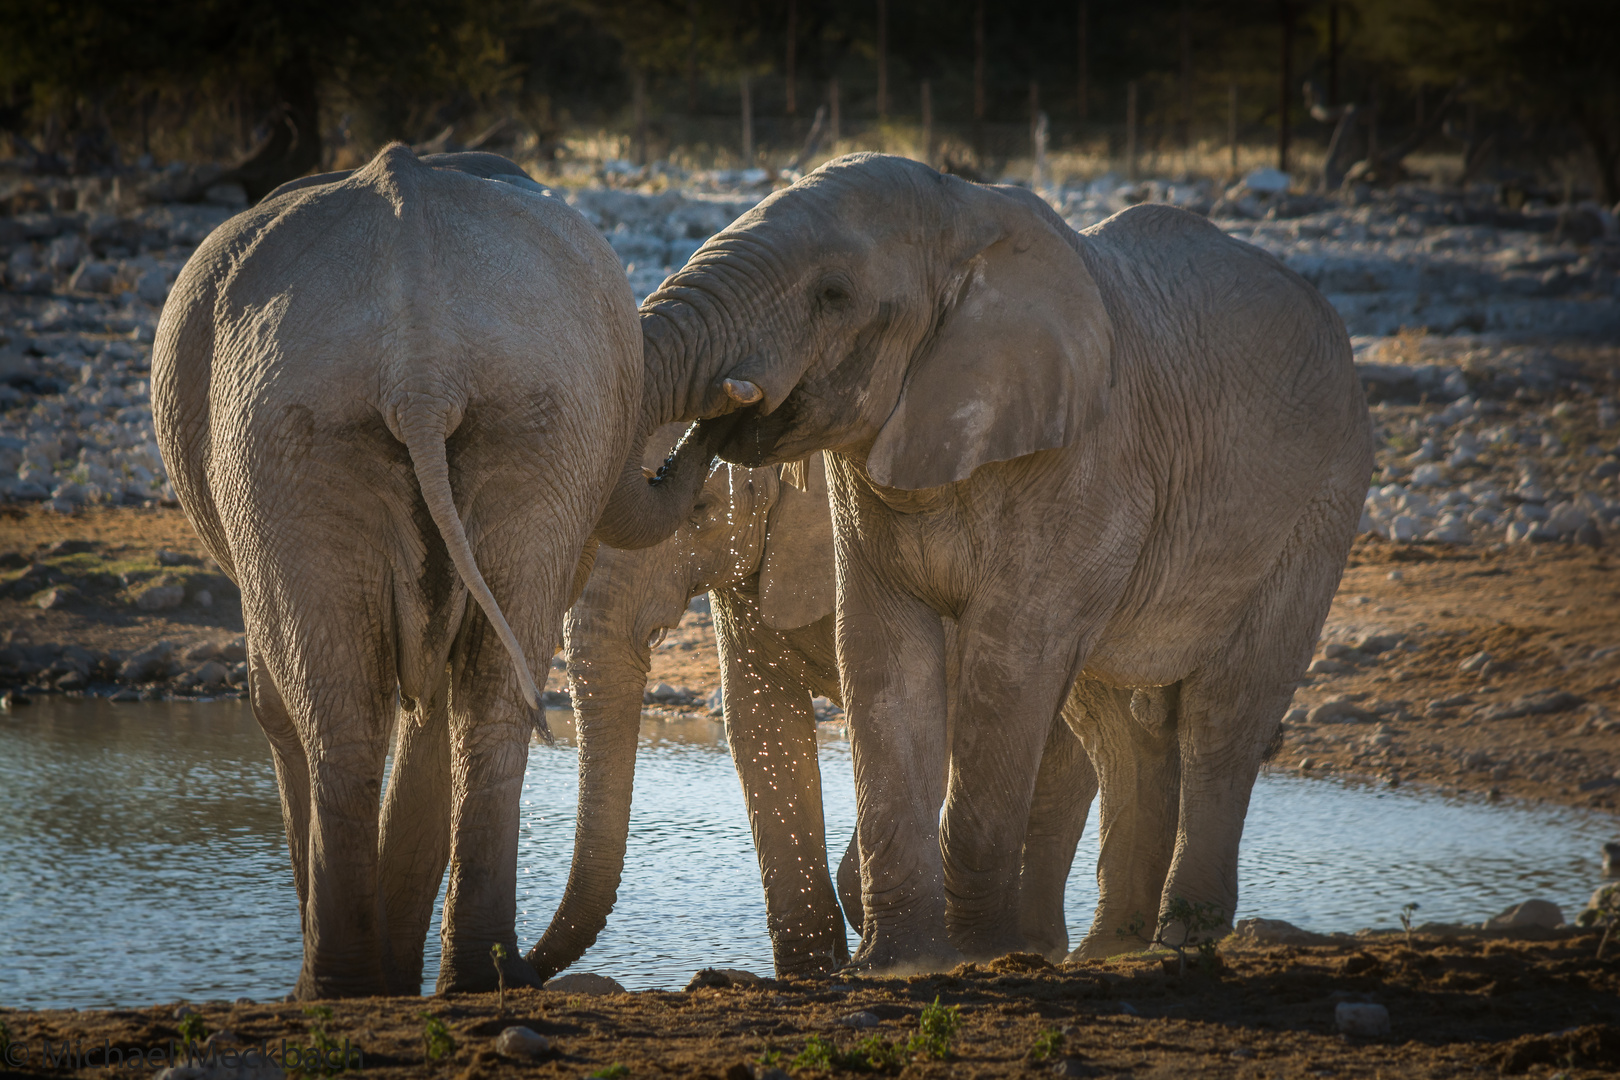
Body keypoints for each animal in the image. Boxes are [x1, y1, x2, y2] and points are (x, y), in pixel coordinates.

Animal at [152, 148, 735, 1003]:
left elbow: (281, 699)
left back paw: (343, 986)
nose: (736, 396)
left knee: (355, 705)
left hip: (298, 430)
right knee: (463, 695)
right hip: (495, 421)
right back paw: (457, 980)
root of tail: (420, 364)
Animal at [638, 152, 1373, 971]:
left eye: (834, 295)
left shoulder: (1085, 459)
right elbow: (883, 657)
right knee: (1118, 724)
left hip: (1322, 502)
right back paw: (1109, 951)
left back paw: (1181, 936)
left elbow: (1009, 659)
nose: (718, 417)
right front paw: (900, 963)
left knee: (1225, 711)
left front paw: (977, 956)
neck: (965, 211)